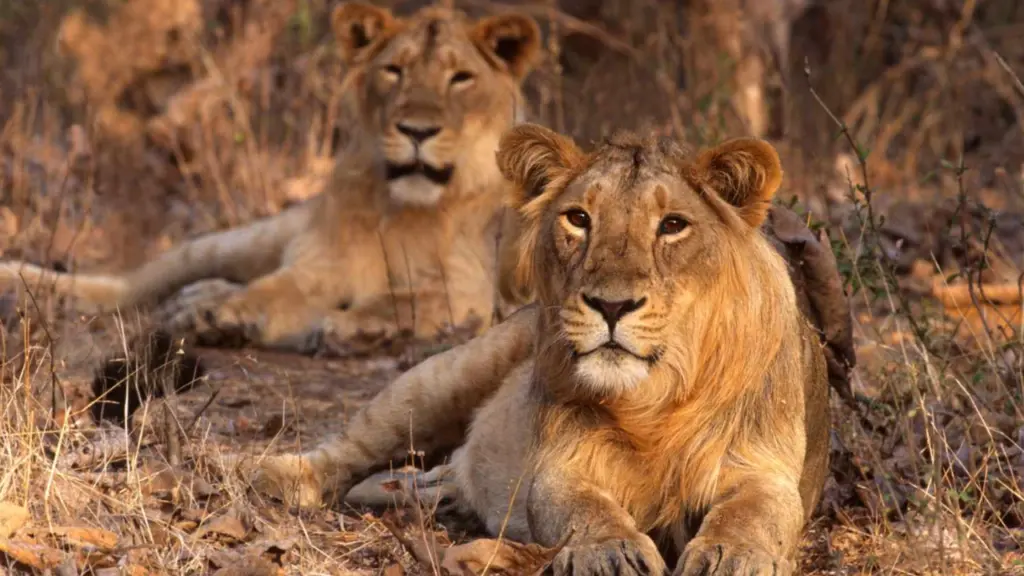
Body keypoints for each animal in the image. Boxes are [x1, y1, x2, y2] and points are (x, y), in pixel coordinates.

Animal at [0, 2, 541, 352]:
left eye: (461, 78)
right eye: (394, 70)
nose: (417, 131)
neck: (405, 208)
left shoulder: (475, 288)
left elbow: (411, 298)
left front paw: (357, 327)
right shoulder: (320, 265)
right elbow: (275, 290)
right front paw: (227, 315)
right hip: (242, 239)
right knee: (132, 284)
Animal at [253, 124, 842, 575]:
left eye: (673, 225)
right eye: (578, 218)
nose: (611, 305)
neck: (655, 402)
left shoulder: (764, 467)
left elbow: (755, 512)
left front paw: (734, 555)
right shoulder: (560, 464)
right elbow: (580, 508)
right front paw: (611, 551)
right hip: (444, 377)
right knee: (352, 445)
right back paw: (273, 475)